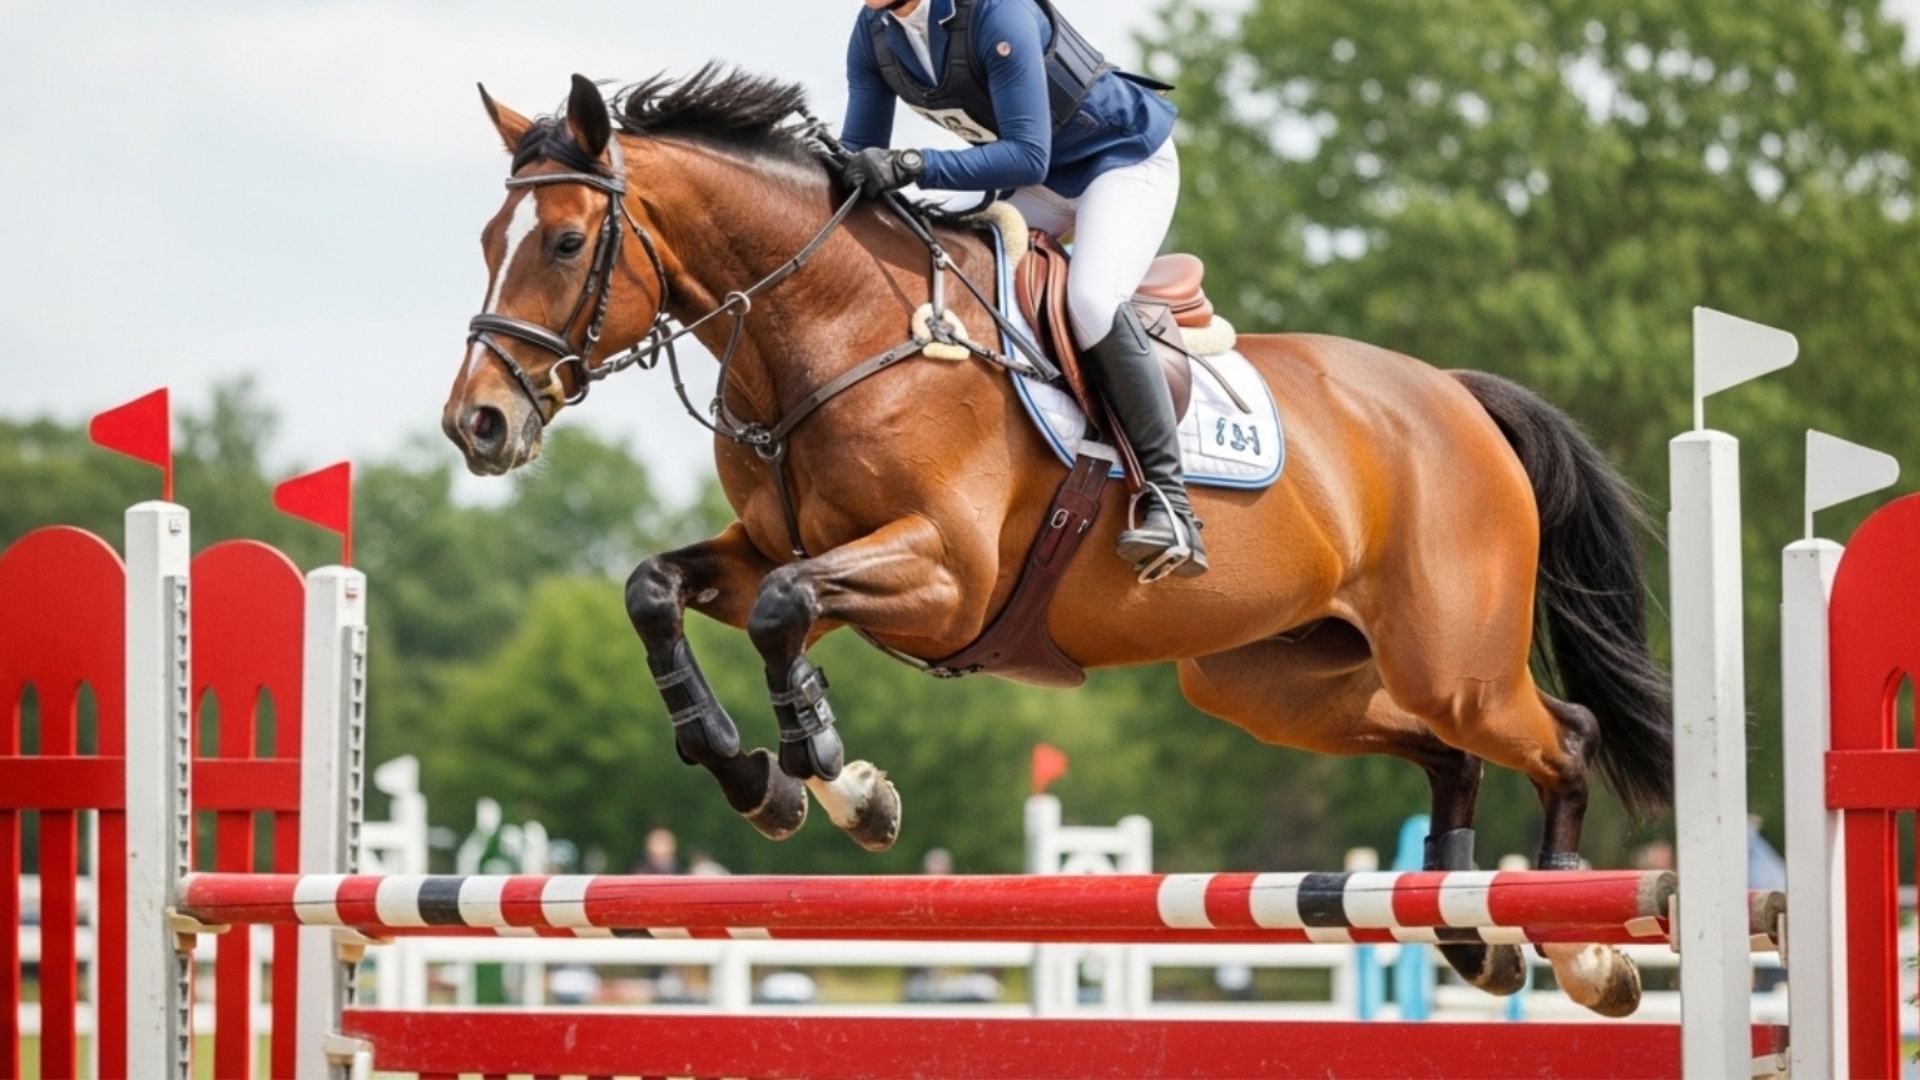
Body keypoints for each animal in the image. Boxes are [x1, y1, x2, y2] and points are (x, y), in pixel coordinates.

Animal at [441, 68, 1672, 1018]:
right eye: (488, 240)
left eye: (564, 241)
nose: (477, 425)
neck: (831, 327)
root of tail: (1456, 399)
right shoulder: (764, 552)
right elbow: (658, 589)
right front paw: (763, 782)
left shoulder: (945, 576)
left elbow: (791, 608)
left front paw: (844, 786)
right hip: (1273, 682)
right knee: (1447, 755)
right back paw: (1472, 936)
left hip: (1452, 662)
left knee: (1561, 737)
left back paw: (1583, 950)